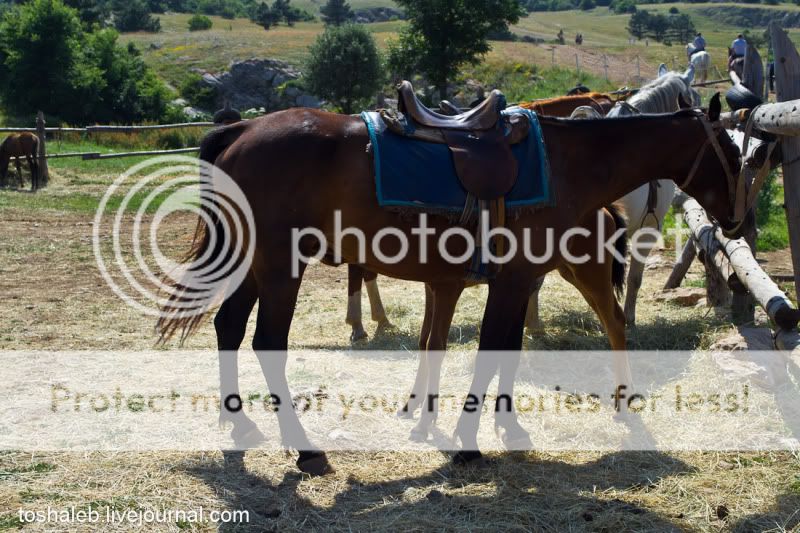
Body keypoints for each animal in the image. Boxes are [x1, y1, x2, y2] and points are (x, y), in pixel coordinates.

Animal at [157, 95, 741, 474]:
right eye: (732, 155)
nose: (737, 220)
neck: (565, 165)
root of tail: (239, 132)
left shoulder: (503, 281)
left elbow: (493, 348)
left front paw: (495, 428)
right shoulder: (513, 281)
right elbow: (490, 350)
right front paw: (468, 440)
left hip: (250, 267)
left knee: (229, 328)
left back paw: (241, 427)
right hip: (281, 269)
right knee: (266, 343)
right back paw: (304, 447)